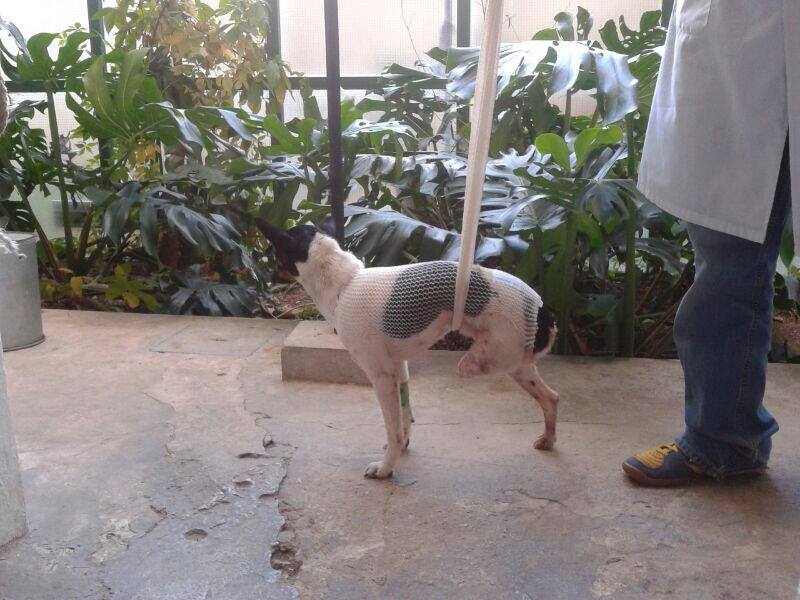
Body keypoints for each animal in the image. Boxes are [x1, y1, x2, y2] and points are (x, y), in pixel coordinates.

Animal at [257, 219, 559, 479]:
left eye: (275, 256)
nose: (267, 277)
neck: (345, 283)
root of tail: (542, 307)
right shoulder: (399, 370)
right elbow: (405, 416)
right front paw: (402, 447)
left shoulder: (381, 378)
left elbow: (393, 430)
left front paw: (386, 468)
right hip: (519, 365)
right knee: (551, 398)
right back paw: (548, 440)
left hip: (487, 360)